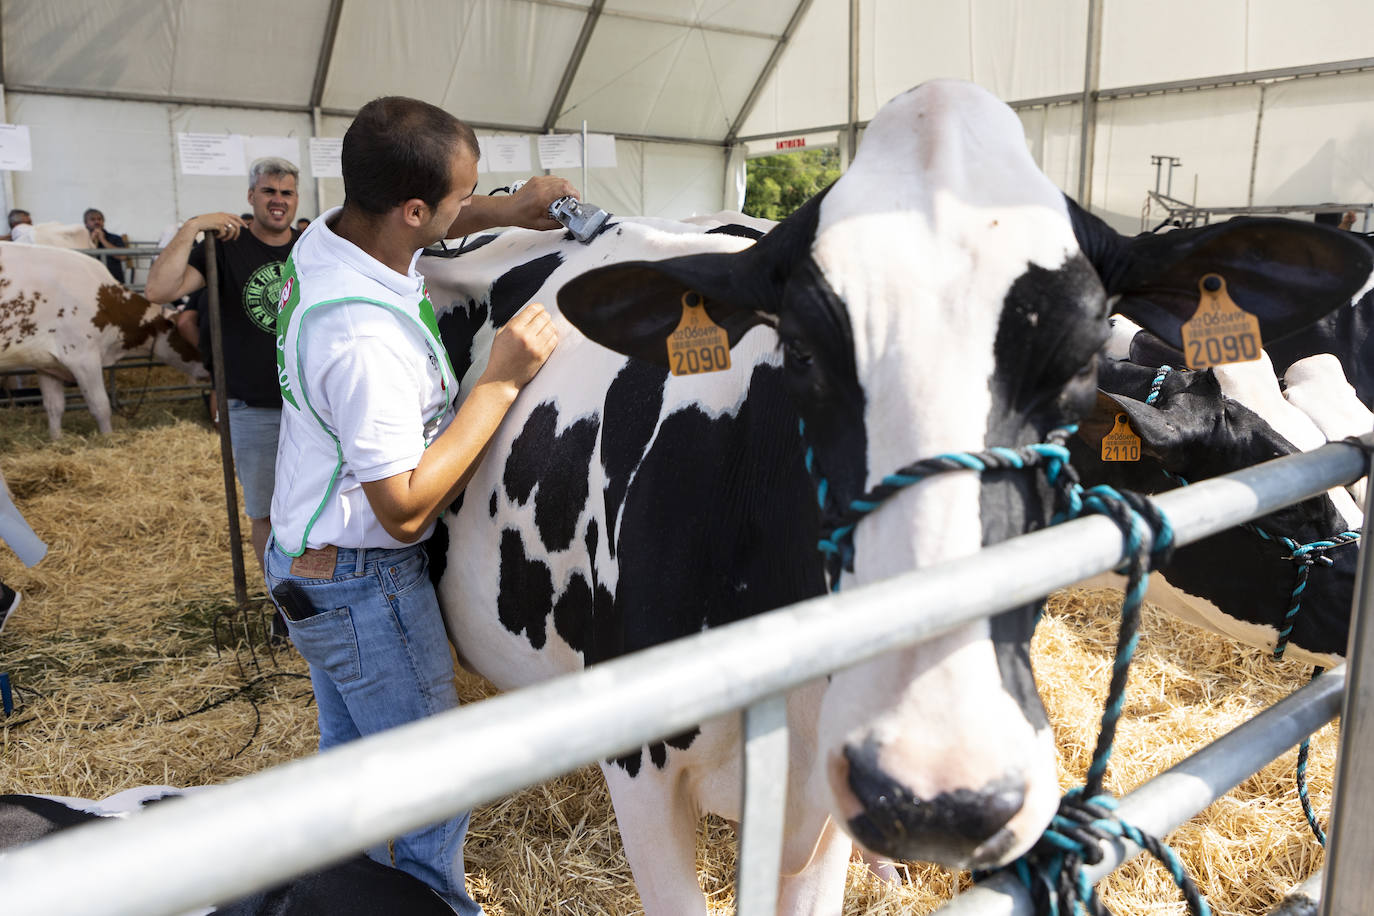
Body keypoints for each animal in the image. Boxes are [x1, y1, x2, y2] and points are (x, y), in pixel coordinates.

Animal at [0, 245, 203, 439]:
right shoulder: (83, 357)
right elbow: (101, 406)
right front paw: (108, 438)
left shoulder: (46, 363)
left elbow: (54, 407)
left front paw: (56, 440)